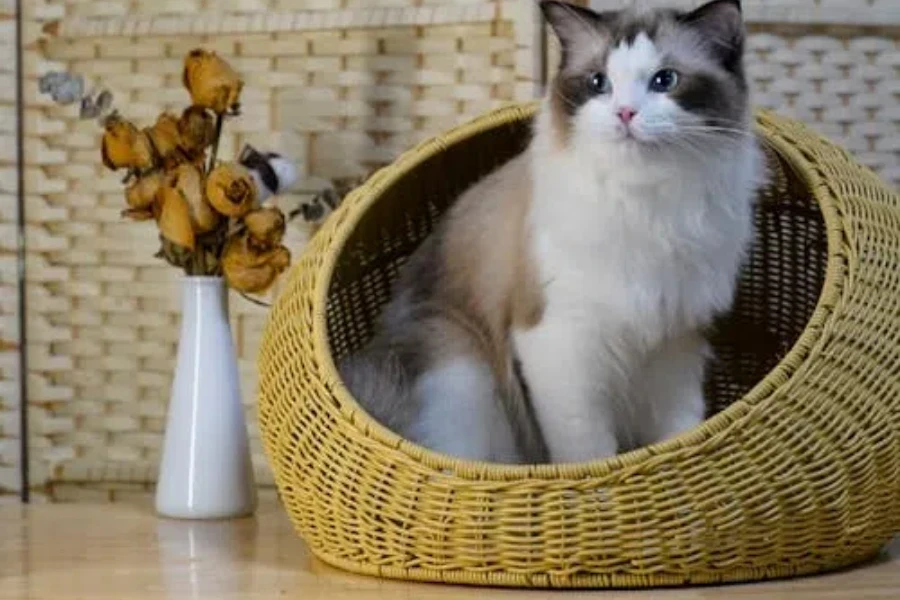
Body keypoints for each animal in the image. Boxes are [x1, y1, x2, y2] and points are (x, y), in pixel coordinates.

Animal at [342, 0, 764, 466]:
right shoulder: (562, 346)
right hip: (461, 368)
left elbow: (680, 431)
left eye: (664, 80)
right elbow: (589, 452)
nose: (625, 113)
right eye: (598, 83)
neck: (646, 201)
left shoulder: (675, 345)